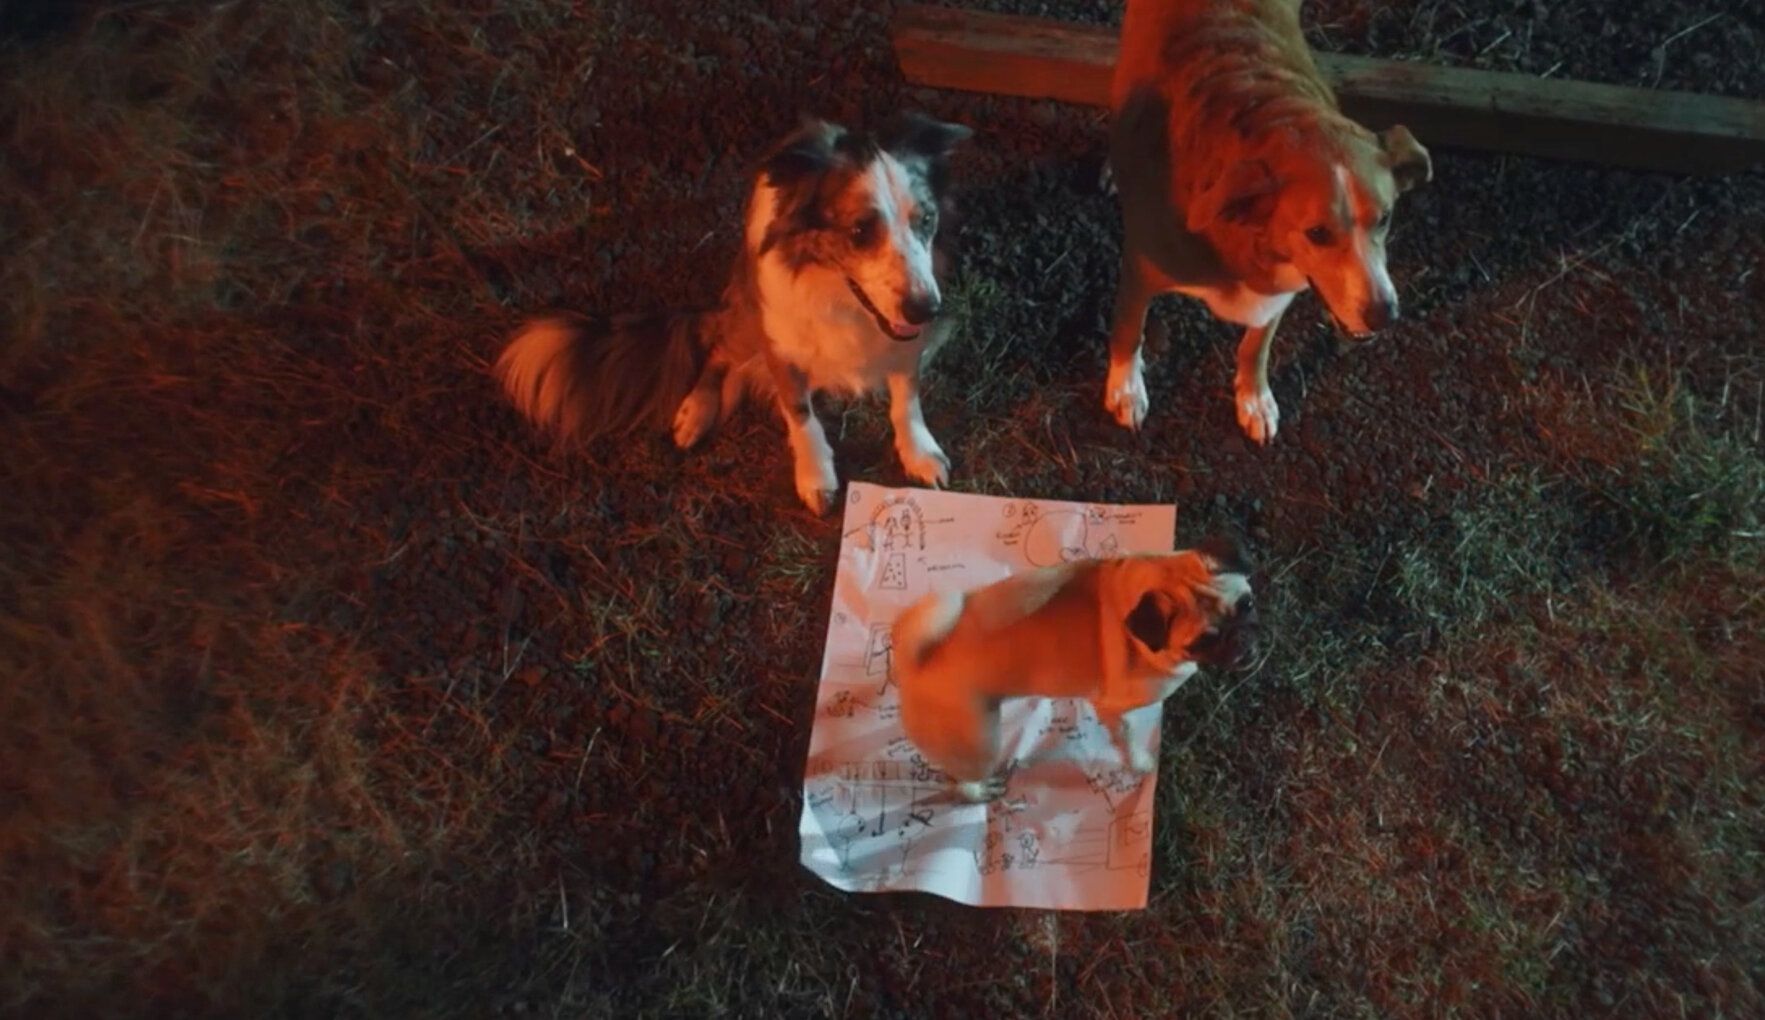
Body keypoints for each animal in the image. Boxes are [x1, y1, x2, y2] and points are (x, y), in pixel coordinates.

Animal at [494, 114, 972, 514]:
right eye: (859, 230)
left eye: (926, 220)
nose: (927, 309)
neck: (840, 296)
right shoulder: (779, 345)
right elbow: (800, 414)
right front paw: (815, 476)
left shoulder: (905, 340)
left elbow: (906, 397)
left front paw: (918, 452)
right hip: (744, 318)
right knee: (717, 350)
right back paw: (694, 411)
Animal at [891, 541, 1257, 802]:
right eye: (1204, 641)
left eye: (1247, 604)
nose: (1241, 641)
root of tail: (912, 664)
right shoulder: (1114, 710)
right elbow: (1129, 741)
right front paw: (1140, 764)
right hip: (979, 742)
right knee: (962, 781)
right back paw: (979, 792)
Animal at [1103, 0, 1433, 442]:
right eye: (1317, 233)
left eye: (1385, 218)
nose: (1384, 315)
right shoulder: (1140, 271)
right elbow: (1128, 330)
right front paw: (1125, 390)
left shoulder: (1281, 287)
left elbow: (1255, 345)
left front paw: (1254, 398)